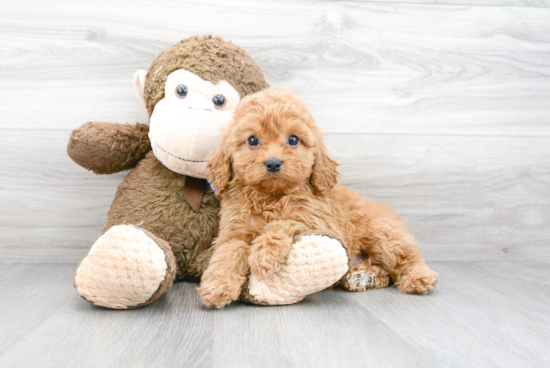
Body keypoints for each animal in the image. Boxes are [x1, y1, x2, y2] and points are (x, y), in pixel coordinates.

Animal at [198, 88, 440, 308]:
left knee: (405, 259)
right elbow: (229, 252)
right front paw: (217, 285)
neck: (272, 197)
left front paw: (265, 253)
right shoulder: (233, 232)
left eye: (293, 139)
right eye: (252, 140)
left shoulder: (319, 222)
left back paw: (418, 278)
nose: (273, 163)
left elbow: (283, 222)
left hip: (383, 235)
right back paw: (362, 276)